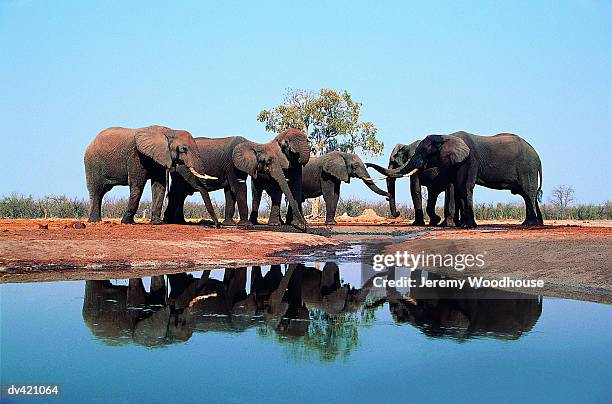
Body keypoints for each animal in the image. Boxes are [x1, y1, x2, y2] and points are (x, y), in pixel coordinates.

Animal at [83, 125, 213, 224]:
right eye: (183, 149)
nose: (216, 225)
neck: (169, 132)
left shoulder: (159, 157)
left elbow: (159, 186)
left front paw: (157, 223)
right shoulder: (136, 156)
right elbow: (137, 186)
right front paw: (127, 222)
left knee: (102, 192)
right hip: (92, 164)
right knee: (96, 190)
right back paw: (94, 221)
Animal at [163, 130, 308, 229]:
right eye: (268, 161)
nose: (304, 227)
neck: (253, 144)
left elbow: (230, 191)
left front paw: (229, 224)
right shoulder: (232, 164)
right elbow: (238, 187)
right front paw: (246, 225)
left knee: (179, 194)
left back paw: (177, 221)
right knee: (177, 193)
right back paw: (170, 221)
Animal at [384, 132, 544, 227]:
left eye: (423, 153)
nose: (397, 214)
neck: (445, 136)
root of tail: (538, 157)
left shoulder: (469, 160)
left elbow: (463, 186)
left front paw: (466, 225)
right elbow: (455, 188)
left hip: (527, 167)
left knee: (528, 193)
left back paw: (529, 224)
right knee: (529, 194)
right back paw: (535, 223)